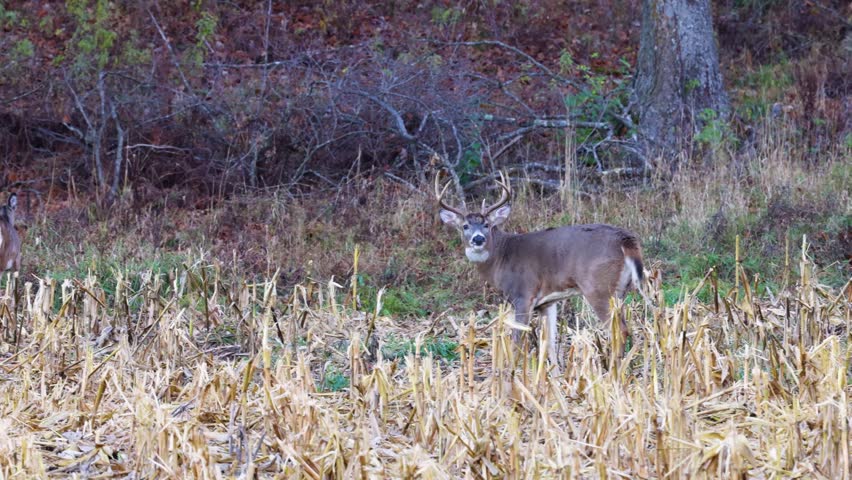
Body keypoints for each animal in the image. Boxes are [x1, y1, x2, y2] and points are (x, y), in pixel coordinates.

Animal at [436, 174, 647, 370]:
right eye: (465, 226)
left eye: (487, 225)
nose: (478, 239)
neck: (501, 257)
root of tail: (625, 239)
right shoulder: (547, 302)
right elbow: (550, 343)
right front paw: (555, 376)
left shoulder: (523, 295)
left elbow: (517, 342)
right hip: (621, 290)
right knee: (625, 328)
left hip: (598, 288)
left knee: (619, 330)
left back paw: (614, 371)